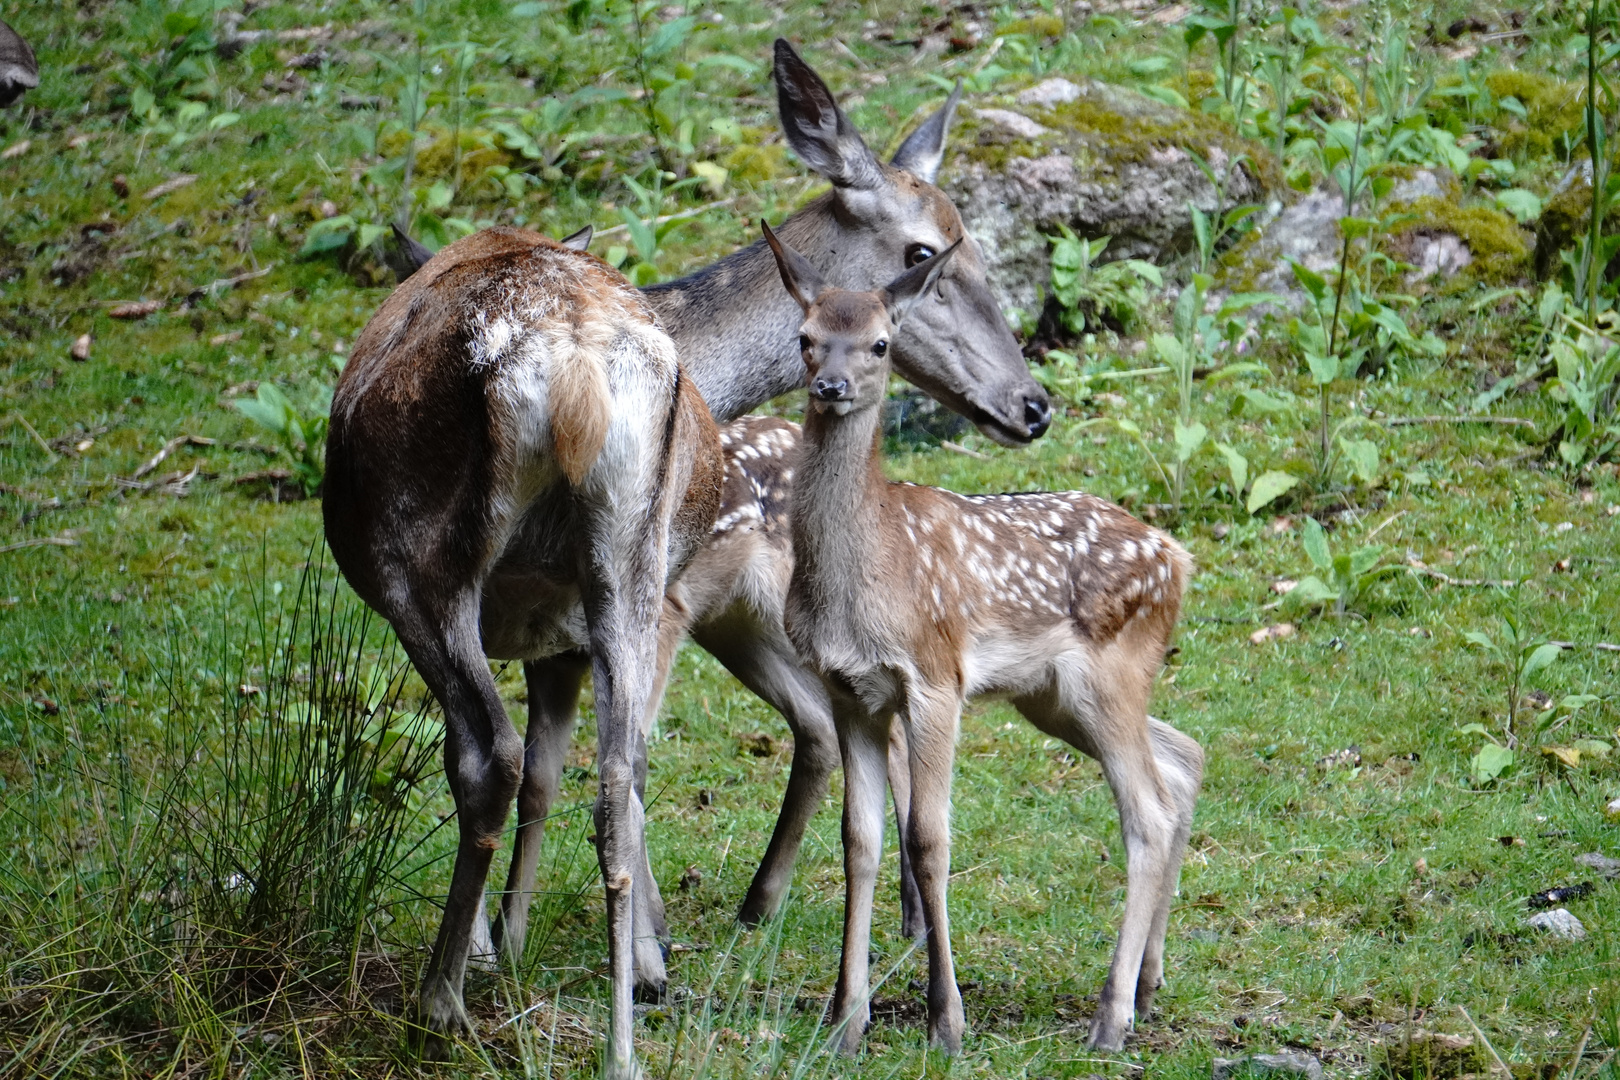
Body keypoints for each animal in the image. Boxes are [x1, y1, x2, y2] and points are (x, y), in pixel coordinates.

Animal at [761, 221, 1205, 1055]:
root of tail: (1178, 556)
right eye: (805, 337)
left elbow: (929, 840)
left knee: (1148, 811)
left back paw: (1111, 1017)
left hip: (1110, 672)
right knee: (1183, 759)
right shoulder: (849, 690)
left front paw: (947, 1019)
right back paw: (1150, 981)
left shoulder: (935, 678)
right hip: (1057, 696)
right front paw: (845, 1020)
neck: (865, 579)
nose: (830, 386)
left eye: (880, 344)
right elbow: (861, 842)